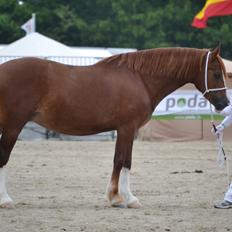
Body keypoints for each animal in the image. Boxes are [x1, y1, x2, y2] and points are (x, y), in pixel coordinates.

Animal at [0, 45, 229, 208]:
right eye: (217, 74)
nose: (225, 104)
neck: (140, 78)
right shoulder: (127, 128)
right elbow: (122, 161)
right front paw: (125, 198)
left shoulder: (127, 130)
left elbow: (122, 160)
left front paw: (117, 198)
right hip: (13, 127)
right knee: (3, 158)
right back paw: (5, 200)